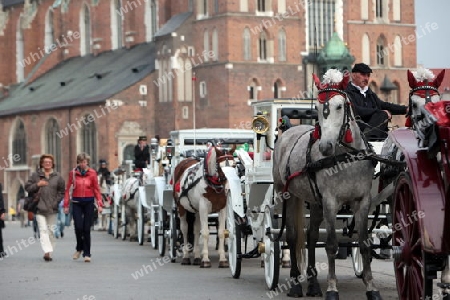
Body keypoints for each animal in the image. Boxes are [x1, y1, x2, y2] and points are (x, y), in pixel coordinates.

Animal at [272, 68, 382, 300]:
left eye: (340, 106)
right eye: (318, 109)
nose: (325, 147)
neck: (346, 158)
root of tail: (288, 132)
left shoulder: (363, 201)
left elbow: (364, 243)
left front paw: (371, 287)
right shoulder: (331, 202)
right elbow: (331, 245)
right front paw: (332, 289)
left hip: (314, 201)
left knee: (312, 237)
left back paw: (313, 284)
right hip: (286, 194)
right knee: (293, 236)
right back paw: (296, 284)